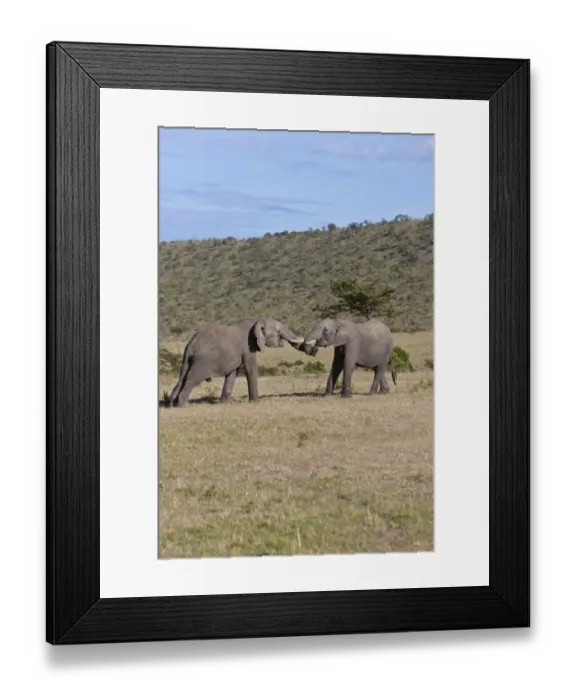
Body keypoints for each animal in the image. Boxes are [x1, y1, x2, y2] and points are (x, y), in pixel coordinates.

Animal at [168, 317, 304, 406]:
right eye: (278, 331)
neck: (256, 320)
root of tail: (192, 343)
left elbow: (232, 373)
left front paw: (224, 404)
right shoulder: (248, 347)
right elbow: (250, 369)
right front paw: (256, 402)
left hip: (187, 359)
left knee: (182, 378)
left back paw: (172, 404)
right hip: (203, 360)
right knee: (192, 379)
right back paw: (183, 405)